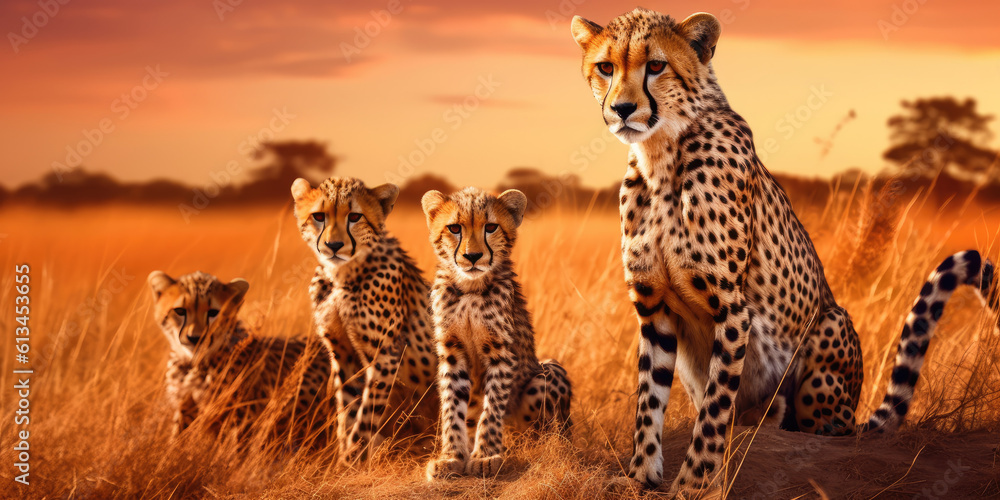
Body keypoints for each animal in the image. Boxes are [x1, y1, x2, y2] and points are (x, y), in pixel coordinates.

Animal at [149, 270, 333, 447]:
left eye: (213, 312)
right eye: (180, 311)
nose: (195, 338)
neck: (194, 365)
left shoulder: (242, 416)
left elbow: (232, 450)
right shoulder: (185, 408)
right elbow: (176, 440)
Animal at [291, 176, 439, 465]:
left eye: (355, 216)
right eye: (318, 216)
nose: (334, 246)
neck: (340, 275)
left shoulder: (385, 353)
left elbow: (368, 410)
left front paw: (353, 458)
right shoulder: (342, 352)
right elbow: (347, 410)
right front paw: (344, 460)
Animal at [420, 187, 573, 479]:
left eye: (491, 227)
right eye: (454, 228)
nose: (472, 256)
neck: (469, 288)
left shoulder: (501, 354)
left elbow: (491, 408)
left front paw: (485, 456)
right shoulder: (452, 352)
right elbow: (452, 407)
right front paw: (451, 457)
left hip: (547, 373)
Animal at [571, 8, 997, 493]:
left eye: (656, 65)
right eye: (606, 67)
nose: (622, 110)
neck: (660, 154)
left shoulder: (732, 310)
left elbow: (714, 410)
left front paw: (695, 483)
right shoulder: (654, 308)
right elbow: (648, 401)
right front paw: (642, 476)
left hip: (829, 333)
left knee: (824, 430)